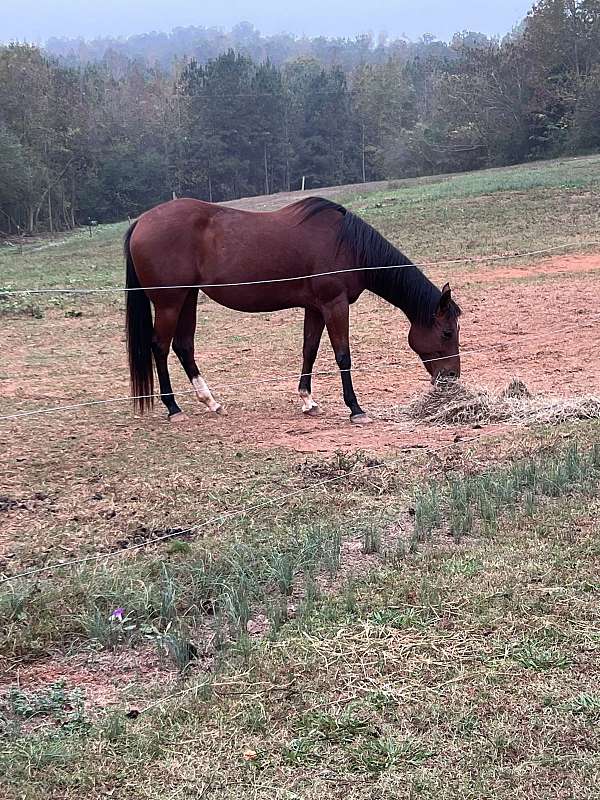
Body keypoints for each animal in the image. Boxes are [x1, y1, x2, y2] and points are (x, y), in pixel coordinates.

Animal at [124, 196, 461, 423]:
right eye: (446, 332)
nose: (451, 378)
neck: (348, 245)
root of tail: (141, 222)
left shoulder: (315, 308)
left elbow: (309, 350)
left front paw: (308, 401)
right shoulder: (334, 304)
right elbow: (343, 355)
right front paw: (355, 408)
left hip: (188, 298)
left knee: (183, 347)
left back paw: (211, 402)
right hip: (169, 303)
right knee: (160, 347)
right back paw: (173, 408)